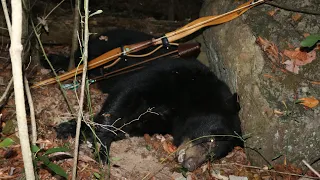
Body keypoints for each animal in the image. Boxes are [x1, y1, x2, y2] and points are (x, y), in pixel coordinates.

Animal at [57, 57, 242, 171]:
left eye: (214, 157)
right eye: (211, 140)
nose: (190, 165)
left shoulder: (165, 121)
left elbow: (131, 125)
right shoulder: (175, 75)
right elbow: (127, 93)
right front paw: (101, 147)